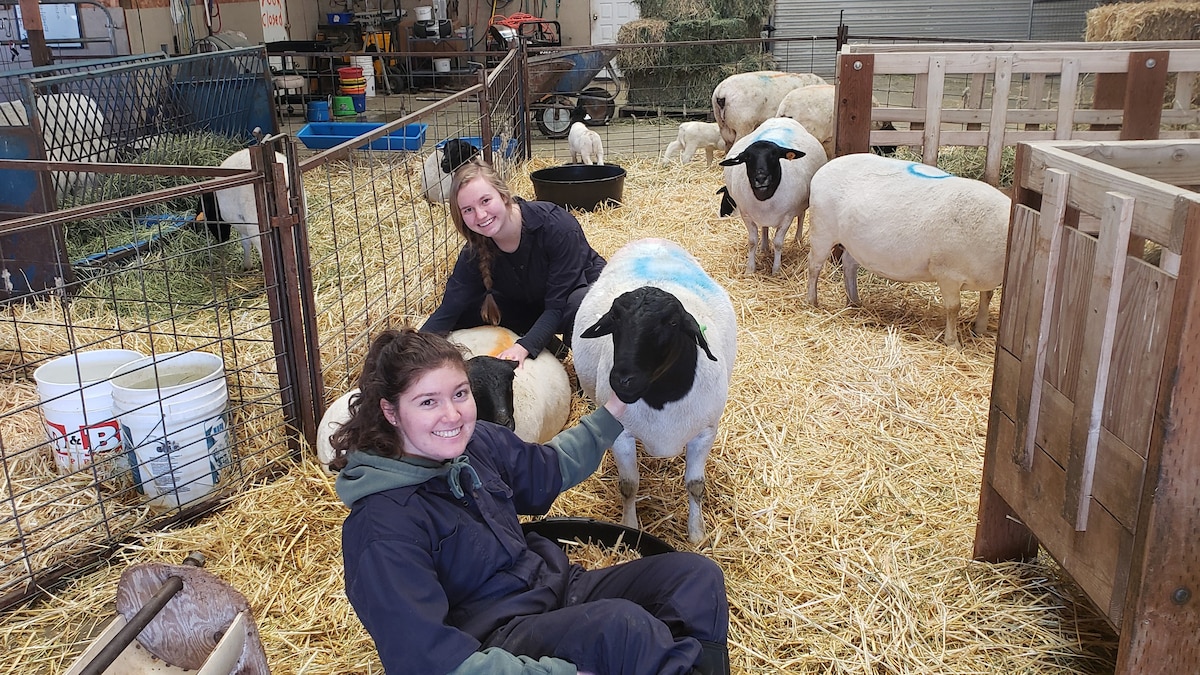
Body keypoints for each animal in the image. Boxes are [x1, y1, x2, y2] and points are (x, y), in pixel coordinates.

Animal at [568, 236, 729, 540]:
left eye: (673, 323)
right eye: (614, 321)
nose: (622, 380)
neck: (662, 399)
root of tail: (652, 239)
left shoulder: (705, 433)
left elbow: (695, 485)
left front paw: (696, 534)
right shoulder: (621, 435)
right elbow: (629, 485)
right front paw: (628, 526)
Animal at [720, 115, 825, 273]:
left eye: (775, 155)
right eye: (747, 158)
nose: (761, 178)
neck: (765, 198)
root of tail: (781, 119)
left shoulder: (787, 217)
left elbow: (778, 243)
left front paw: (776, 270)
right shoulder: (746, 215)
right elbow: (752, 241)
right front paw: (750, 270)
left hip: (803, 203)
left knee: (801, 216)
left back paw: (797, 239)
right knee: (764, 227)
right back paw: (764, 247)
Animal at [806, 153, 1012, 348]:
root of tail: (825, 167)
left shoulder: (985, 274)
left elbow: (987, 296)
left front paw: (980, 329)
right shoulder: (947, 273)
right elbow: (954, 307)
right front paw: (953, 342)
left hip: (854, 242)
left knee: (849, 263)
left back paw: (854, 302)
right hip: (822, 230)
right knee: (814, 266)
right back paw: (812, 301)